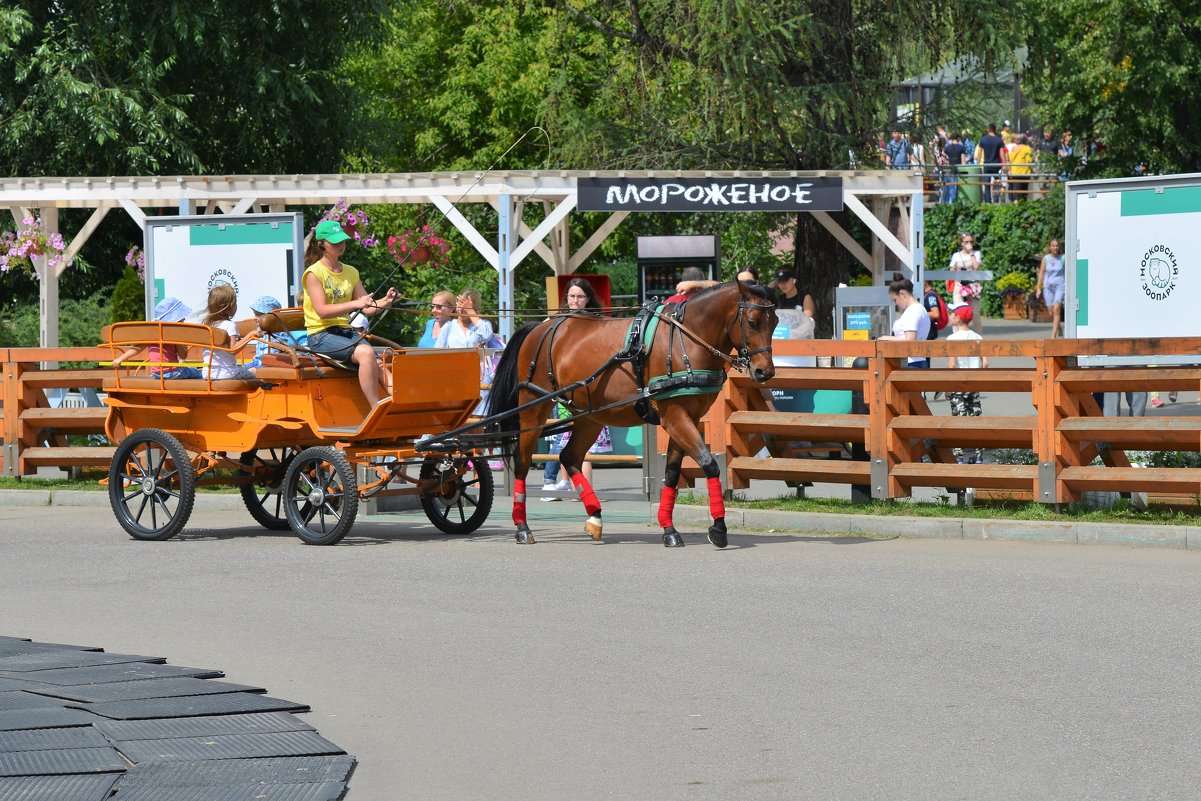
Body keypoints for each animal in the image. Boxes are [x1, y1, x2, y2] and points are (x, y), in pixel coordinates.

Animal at [487, 278, 778, 547]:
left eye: (774, 322)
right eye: (752, 322)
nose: (765, 372)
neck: (685, 340)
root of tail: (542, 326)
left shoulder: (688, 418)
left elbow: (672, 473)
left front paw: (668, 529)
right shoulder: (674, 417)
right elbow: (709, 464)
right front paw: (718, 528)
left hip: (590, 416)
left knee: (569, 457)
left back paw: (595, 517)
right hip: (534, 407)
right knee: (522, 461)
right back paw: (522, 527)